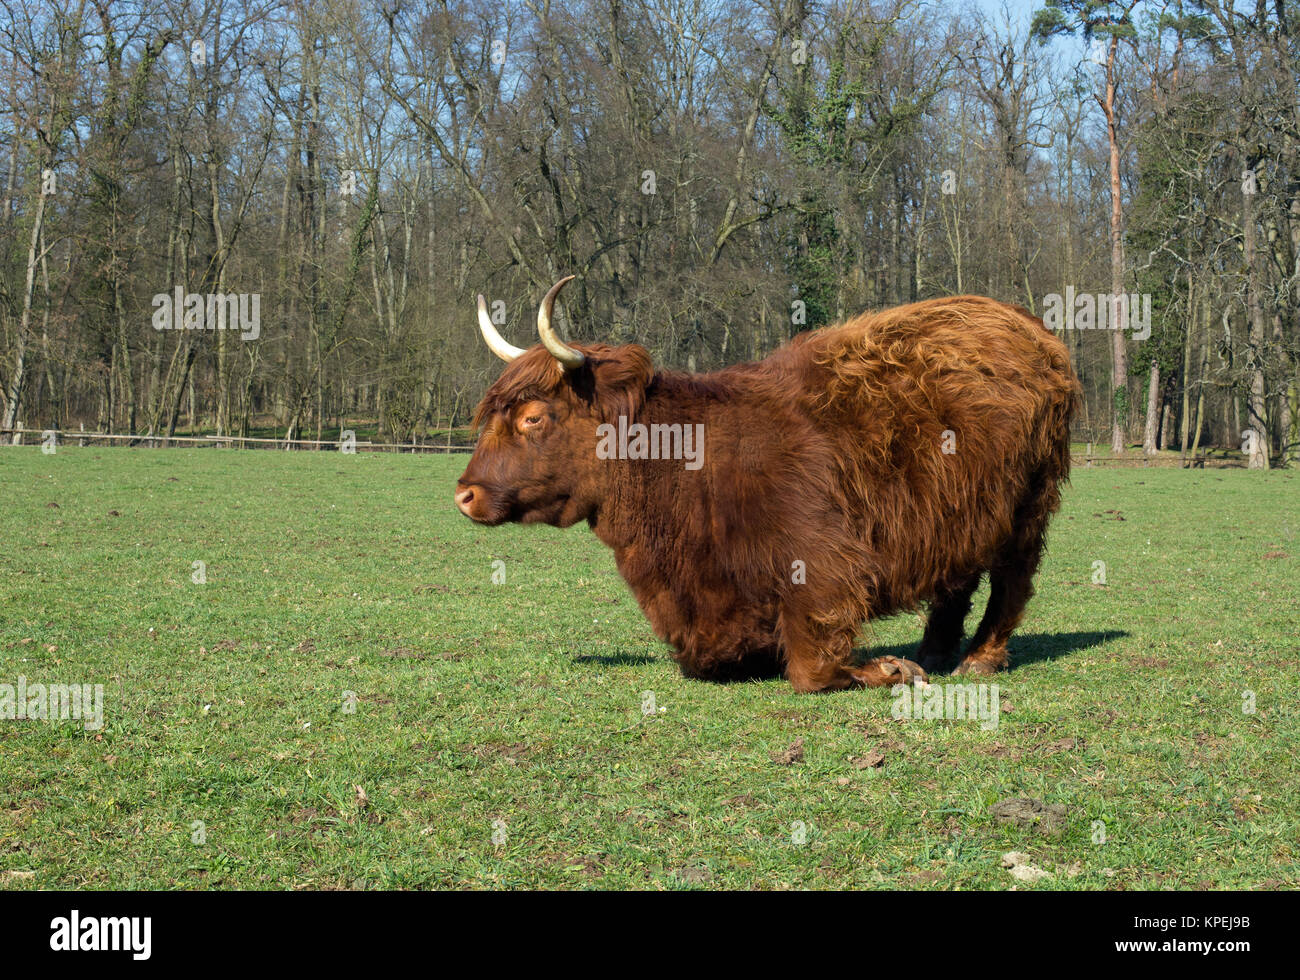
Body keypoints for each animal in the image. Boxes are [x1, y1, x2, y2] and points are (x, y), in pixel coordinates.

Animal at [455, 277, 1079, 693]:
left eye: (533, 417)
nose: (464, 493)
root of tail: (1027, 325)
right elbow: (718, 660)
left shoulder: (823, 569)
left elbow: (812, 669)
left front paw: (889, 668)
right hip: (963, 504)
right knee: (960, 575)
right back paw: (937, 647)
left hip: (1029, 502)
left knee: (1013, 579)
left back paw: (979, 658)